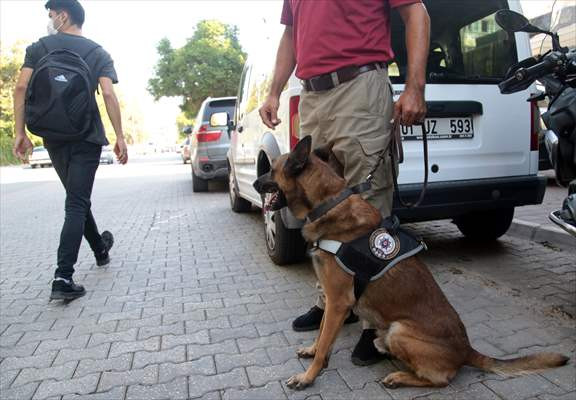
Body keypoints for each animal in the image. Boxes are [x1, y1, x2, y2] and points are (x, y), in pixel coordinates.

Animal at [254, 135, 568, 390]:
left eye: (271, 169)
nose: (255, 181)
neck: (329, 203)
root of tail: (466, 349)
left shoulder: (338, 301)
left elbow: (324, 346)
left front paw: (308, 376)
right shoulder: (332, 300)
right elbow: (321, 334)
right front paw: (311, 349)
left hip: (400, 331)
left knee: (442, 379)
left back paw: (399, 377)